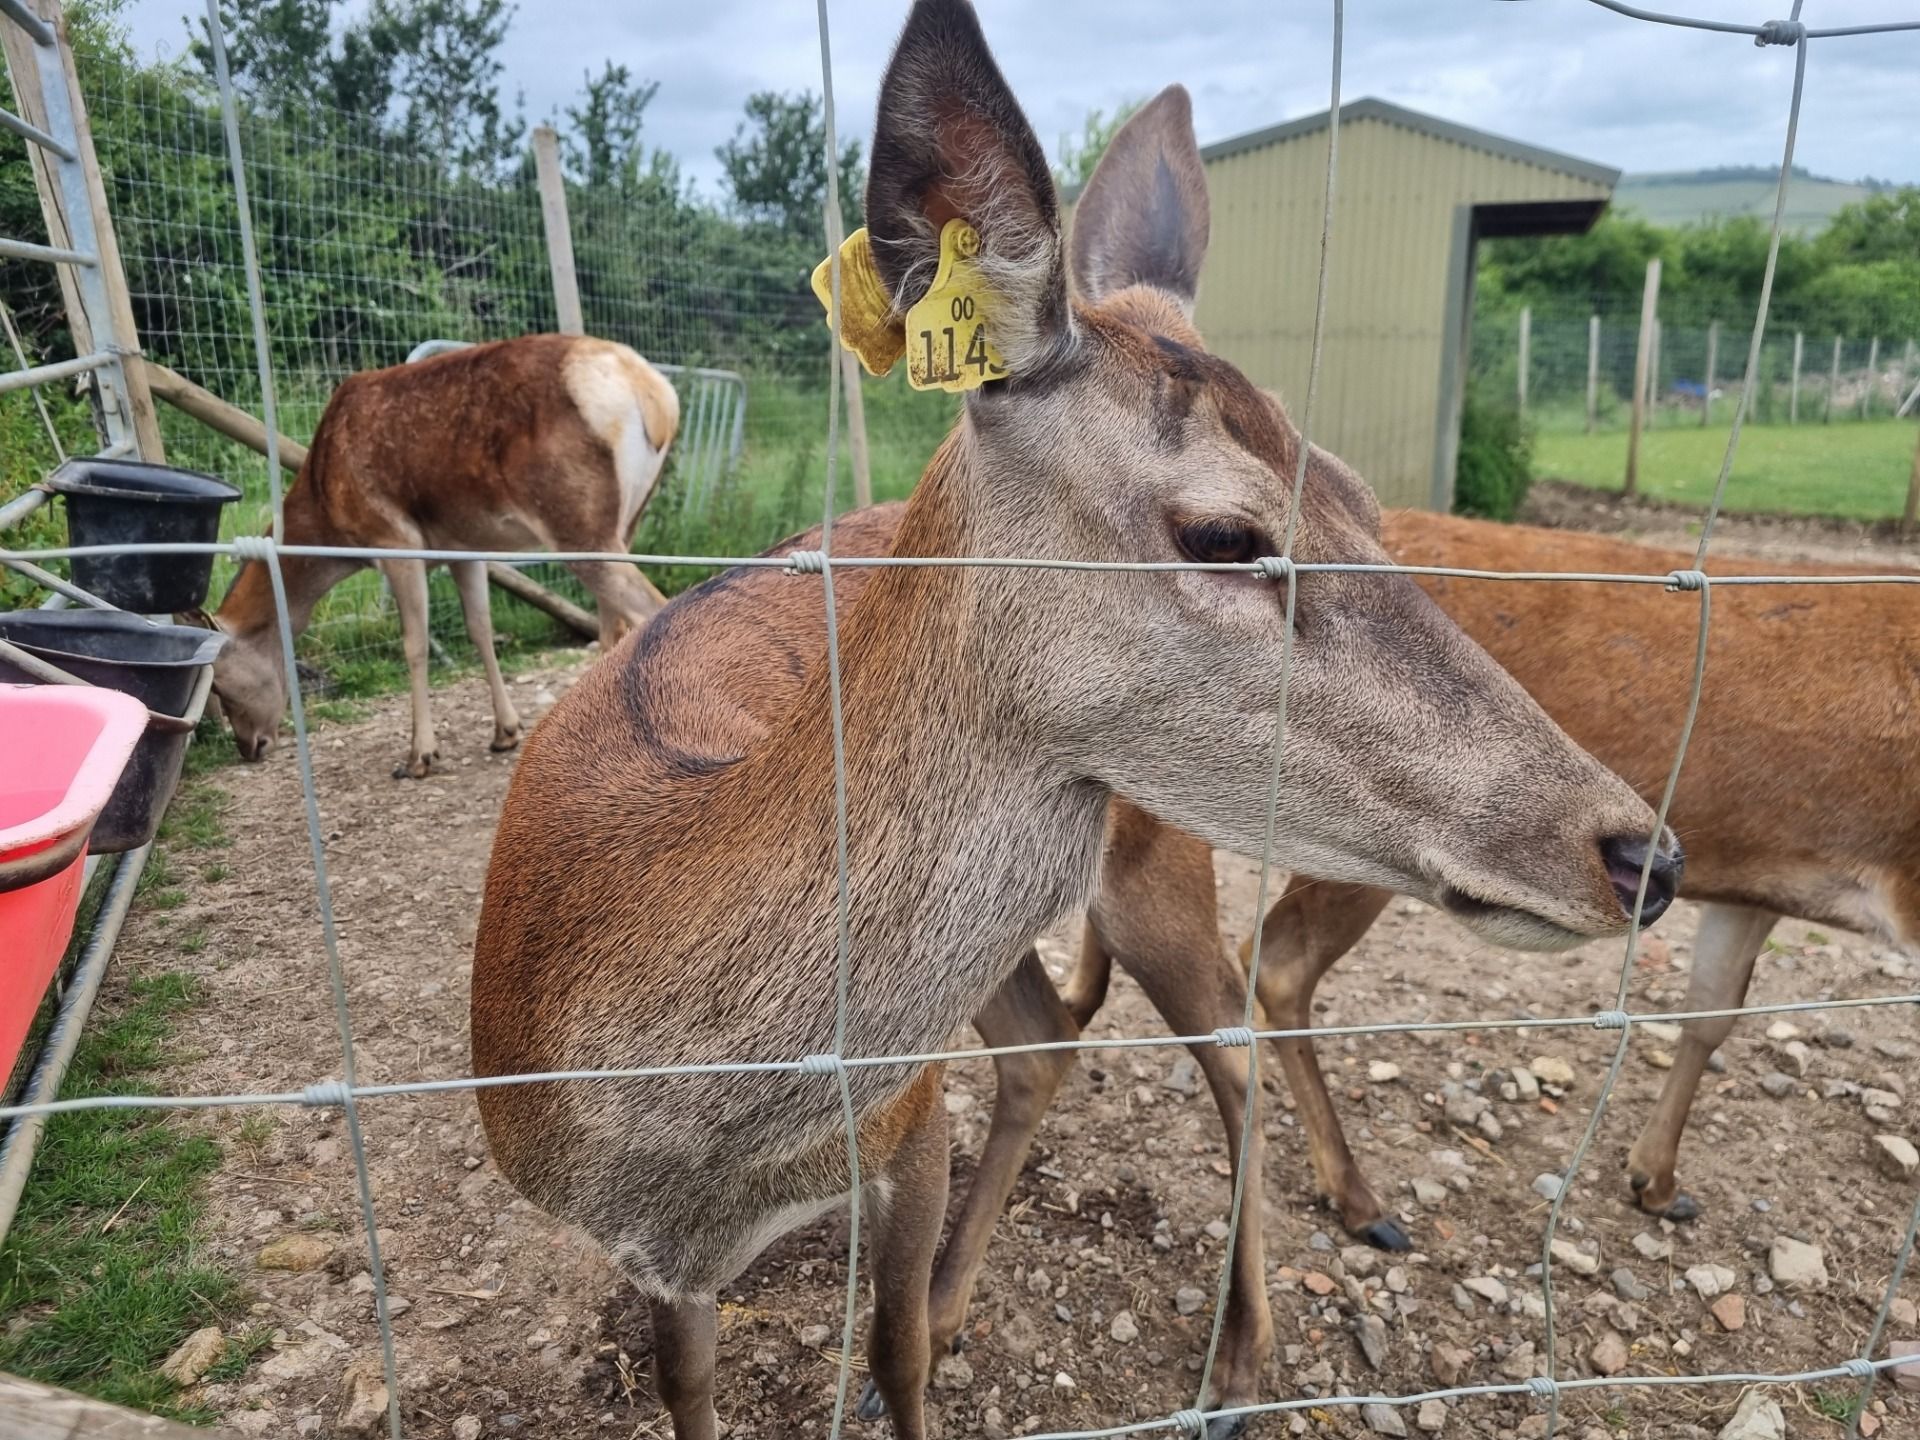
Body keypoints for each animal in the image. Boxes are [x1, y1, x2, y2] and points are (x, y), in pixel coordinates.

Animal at [205, 333, 678, 779]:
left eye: (220, 686)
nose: (250, 747)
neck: (328, 519)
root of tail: (656, 397)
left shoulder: (395, 542)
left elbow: (414, 644)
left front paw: (419, 755)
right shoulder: (465, 549)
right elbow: (480, 628)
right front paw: (505, 731)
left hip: (576, 523)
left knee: (653, 608)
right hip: (627, 521)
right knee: (614, 624)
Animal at [469, 8, 1680, 1438]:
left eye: (1370, 501)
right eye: (1225, 534)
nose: (1641, 852)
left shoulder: (904, 1115)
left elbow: (892, 1357)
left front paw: (917, 1351)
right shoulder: (666, 1256)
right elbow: (690, 1391)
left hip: (1159, 864)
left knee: (1227, 1039)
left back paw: (1242, 1358)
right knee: (1058, 1040)